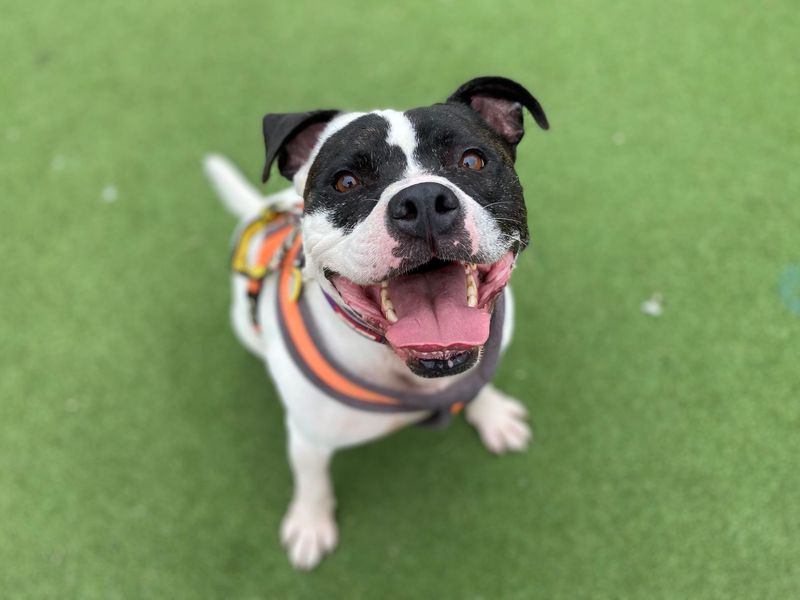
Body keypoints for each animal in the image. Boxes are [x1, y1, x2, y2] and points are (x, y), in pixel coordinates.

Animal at [203, 75, 548, 568]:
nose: (423, 200)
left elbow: (477, 382)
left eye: (472, 160)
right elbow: (311, 480)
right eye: (346, 182)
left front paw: (493, 413)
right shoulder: (308, 438)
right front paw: (311, 522)